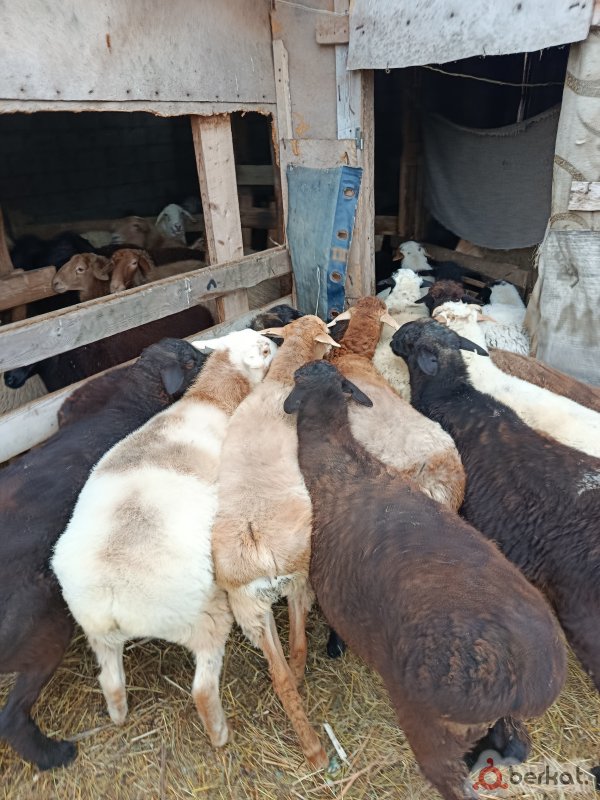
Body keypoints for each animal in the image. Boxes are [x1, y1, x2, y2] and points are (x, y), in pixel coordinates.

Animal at [51, 330, 275, 748]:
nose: (276, 339)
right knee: (202, 688)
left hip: (97, 632)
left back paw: (119, 715)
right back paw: (219, 734)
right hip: (204, 614)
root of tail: (113, 596)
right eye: (265, 350)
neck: (212, 398)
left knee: (110, 680)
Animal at [211, 315, 341, 770]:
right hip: (300, 576)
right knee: (298, 649)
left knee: (280, 673)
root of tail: (256, 543)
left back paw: (311, 748)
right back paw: (317, 751)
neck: (281, 378)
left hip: (248, 608)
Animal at [283, 359, 566, 800]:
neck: (341, 461)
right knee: (515, 744)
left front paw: (334, 646)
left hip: (430, 726)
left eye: (298, 379)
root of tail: (530, 682)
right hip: (502, 719)